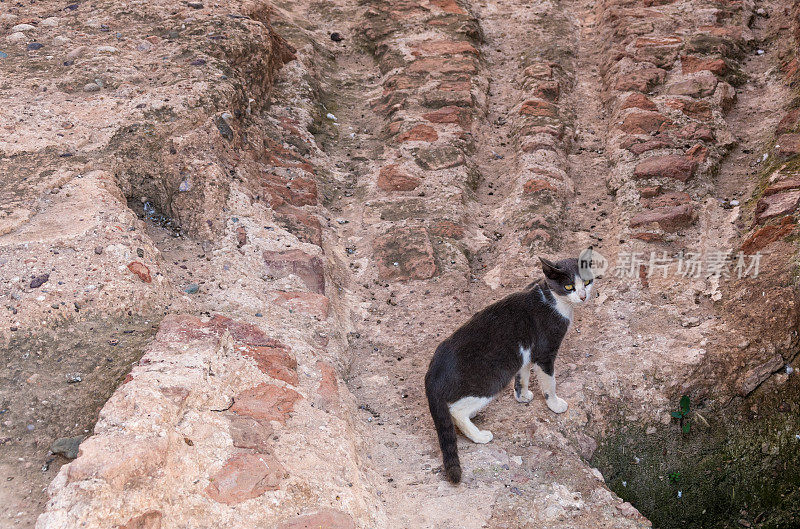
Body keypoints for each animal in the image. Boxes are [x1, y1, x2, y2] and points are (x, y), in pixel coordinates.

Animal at [424, 248, 592, 482]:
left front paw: (523, 396)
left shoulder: (524, 353)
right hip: (492, 378)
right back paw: (479, 435)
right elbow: (549, 383)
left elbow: (522, 376)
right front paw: (555, 405)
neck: (552, 300)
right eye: (569, 287)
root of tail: (432, 372)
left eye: (587, 282)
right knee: (457, 411)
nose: (584, 296)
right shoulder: (544, 352)